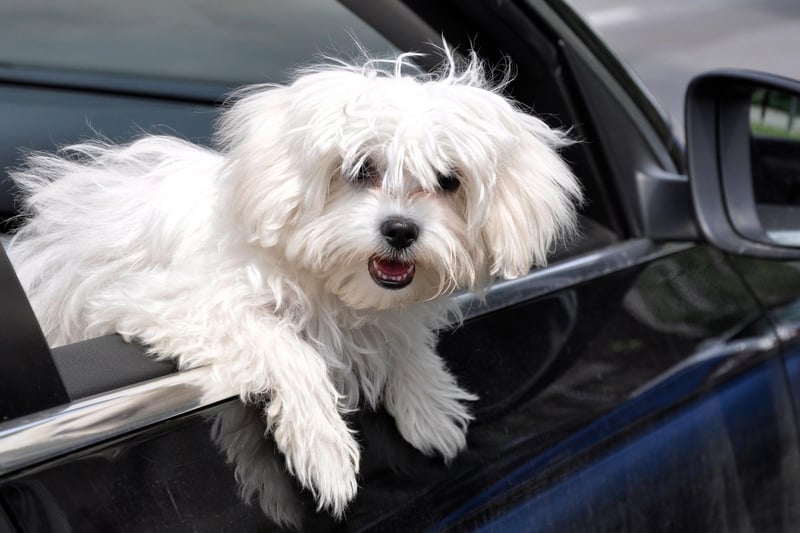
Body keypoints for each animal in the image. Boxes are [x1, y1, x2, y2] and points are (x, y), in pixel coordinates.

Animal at [6, 48, 580, 516]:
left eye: (448, 181)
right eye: (361, 168)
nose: (400, 230)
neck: (323, 278)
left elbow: (401, 339)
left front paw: (429, 403)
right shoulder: (175, 302)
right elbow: (288, 348)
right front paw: (324, 448)